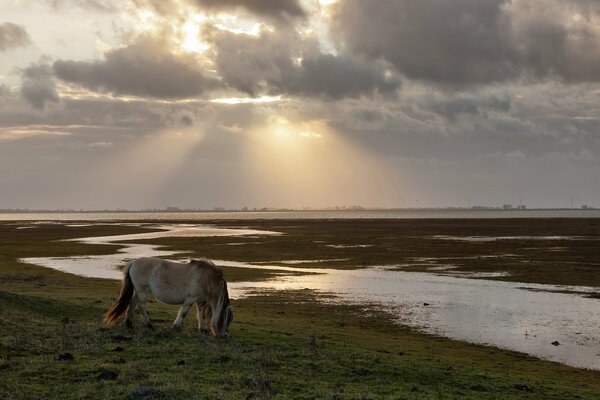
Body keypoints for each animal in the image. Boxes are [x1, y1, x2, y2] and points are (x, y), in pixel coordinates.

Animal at [102, 256, 233, 338]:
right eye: (227, 320)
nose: (225, 336)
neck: (207, 279)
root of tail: (133, 262)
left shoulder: (201, 302)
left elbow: (200, 315)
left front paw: (203, 329)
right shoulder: (190, 299)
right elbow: (183, 312)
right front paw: (175, 326)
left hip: (138, 291)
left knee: (133, 304)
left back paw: (129, 324)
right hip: (142, 291)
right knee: (142, 307)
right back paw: (148, 325)